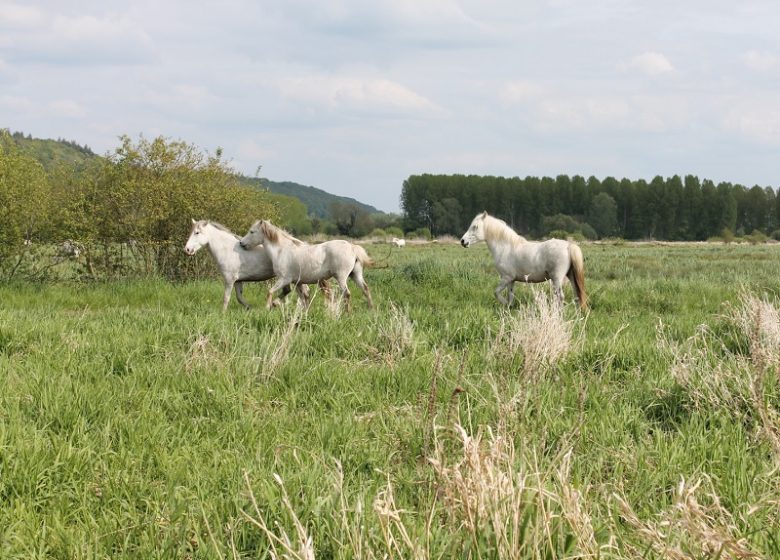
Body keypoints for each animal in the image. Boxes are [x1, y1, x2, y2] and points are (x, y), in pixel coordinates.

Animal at [239, 220, 374, 310]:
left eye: (252, 231)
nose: (241, 243)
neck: (281, 250)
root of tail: (352, 247)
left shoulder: (284, 279)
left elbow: (270, 291)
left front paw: (268, 306)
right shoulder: (297, 282)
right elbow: (303, 297)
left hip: (341, 277)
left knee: (347, 293)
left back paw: (348, 312)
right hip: (355, 275)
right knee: (365, 289)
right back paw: (371, 309)